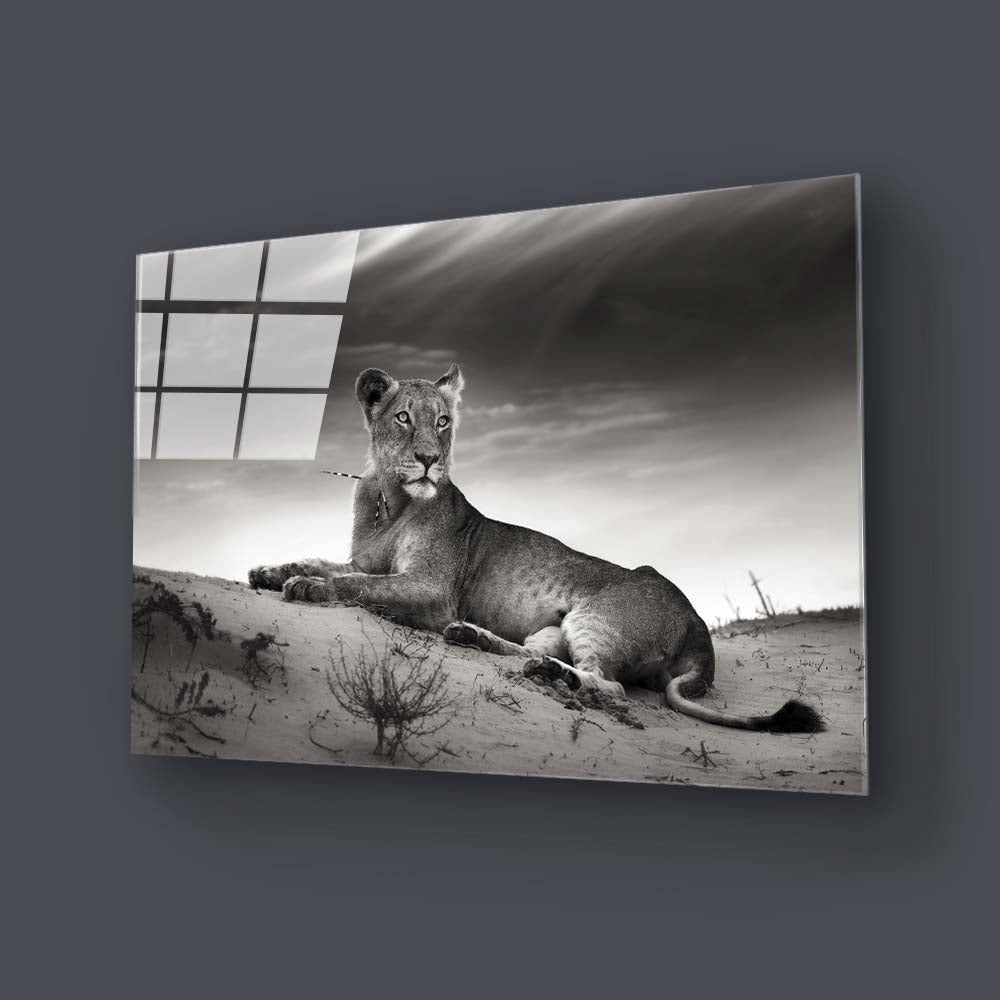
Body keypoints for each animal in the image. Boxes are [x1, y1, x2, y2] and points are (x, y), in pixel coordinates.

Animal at [248, 364, 823, 733]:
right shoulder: (365, 559)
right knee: (531, 651)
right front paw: (270, 571)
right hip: (553, 627)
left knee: (607, 686)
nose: (430, 459)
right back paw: (476, 639)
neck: (389, 499)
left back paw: (546, 673)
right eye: (403, 417)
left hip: (595, 618)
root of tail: (700, 626)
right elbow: (328, 563)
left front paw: (306, 587)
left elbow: (356, 584)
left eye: (443, 422)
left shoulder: (432, 590)